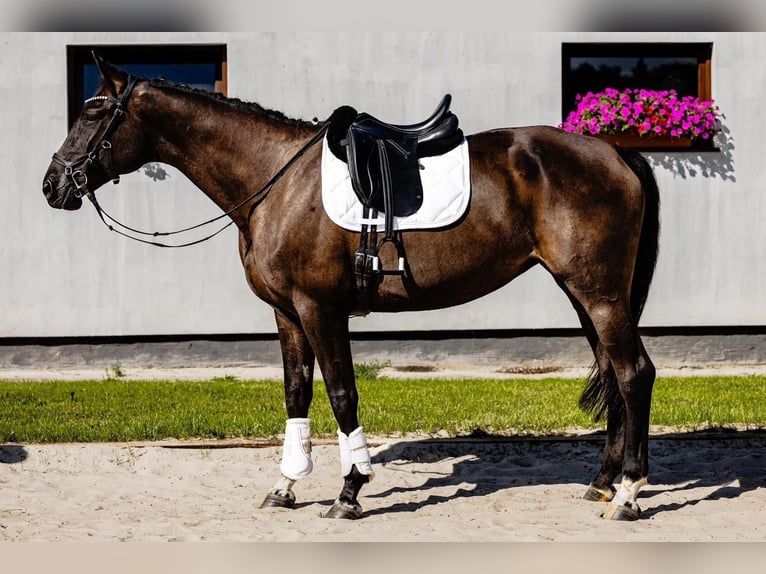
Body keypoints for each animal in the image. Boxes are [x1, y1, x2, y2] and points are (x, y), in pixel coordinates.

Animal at [43, 56, 660, 524]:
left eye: (93, 112)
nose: (52, 185)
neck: (276, 181)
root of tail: (614, 151)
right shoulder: (287, 314)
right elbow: (296, 394)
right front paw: (286, 486)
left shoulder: (320, 309)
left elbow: (342, 394)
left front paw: (349, 491)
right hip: (584, 293)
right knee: (614, 370)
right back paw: (603, 481)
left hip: (599, 292)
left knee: (633, 373)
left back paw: (629, 493)